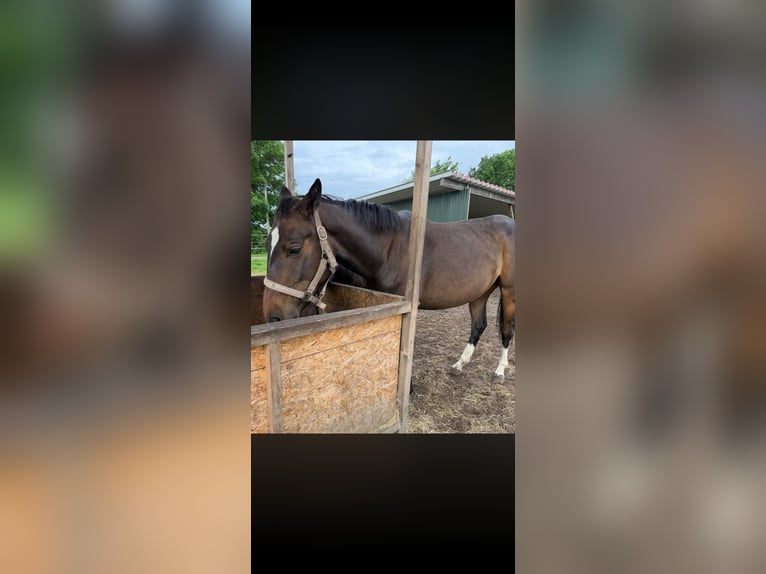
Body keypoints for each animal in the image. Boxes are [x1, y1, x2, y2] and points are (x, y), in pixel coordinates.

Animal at [263, 178, 516, 378]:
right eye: (266, 245)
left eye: (294, 249)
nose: (273, 317)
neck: (390, 249)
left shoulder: (404, 308)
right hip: (480, 292)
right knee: (478, 325)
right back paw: (460, 364)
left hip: (508, 292)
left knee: (507, 328)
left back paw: (500, 370)